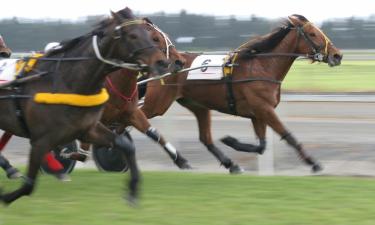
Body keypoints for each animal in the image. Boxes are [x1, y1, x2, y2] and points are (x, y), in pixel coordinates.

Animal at [0, 7, 169, 205]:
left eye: (150, 35)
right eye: (133, 35)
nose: (163, 63)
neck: (66, 82)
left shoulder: (87, 129)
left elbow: (125, 145)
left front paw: (133, 189)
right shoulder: (41, 140)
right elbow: (29, 184)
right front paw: (6, 196)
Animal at [140, 14, 344, 172]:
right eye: (312, 33)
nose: (337, 55)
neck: (263, 67)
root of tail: (160, 62)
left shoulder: (258, 113)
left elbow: (262, 145)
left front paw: (231, 141)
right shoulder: (264, 108)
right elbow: (288, 136)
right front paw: (314, 163)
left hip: (198, 106)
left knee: (205, 138)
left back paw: (229, 164)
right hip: (157, 104)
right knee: (138, 119)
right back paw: (179, 160)